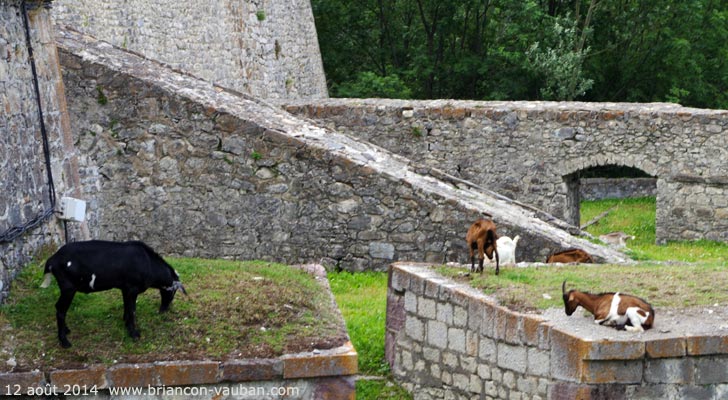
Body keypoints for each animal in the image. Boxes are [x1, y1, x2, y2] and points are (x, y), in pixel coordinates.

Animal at [40, 241, 186, 346]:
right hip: (68, 288)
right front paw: (134, 333)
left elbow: (127, 307)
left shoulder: (125, 289)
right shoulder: (132, 289)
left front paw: (126, 324)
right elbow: (132, 310)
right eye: (173, 292)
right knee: (60, 309)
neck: (148, 263)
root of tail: (52, 260)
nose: (164, 310)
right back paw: (64, 341)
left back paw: (66, 330)